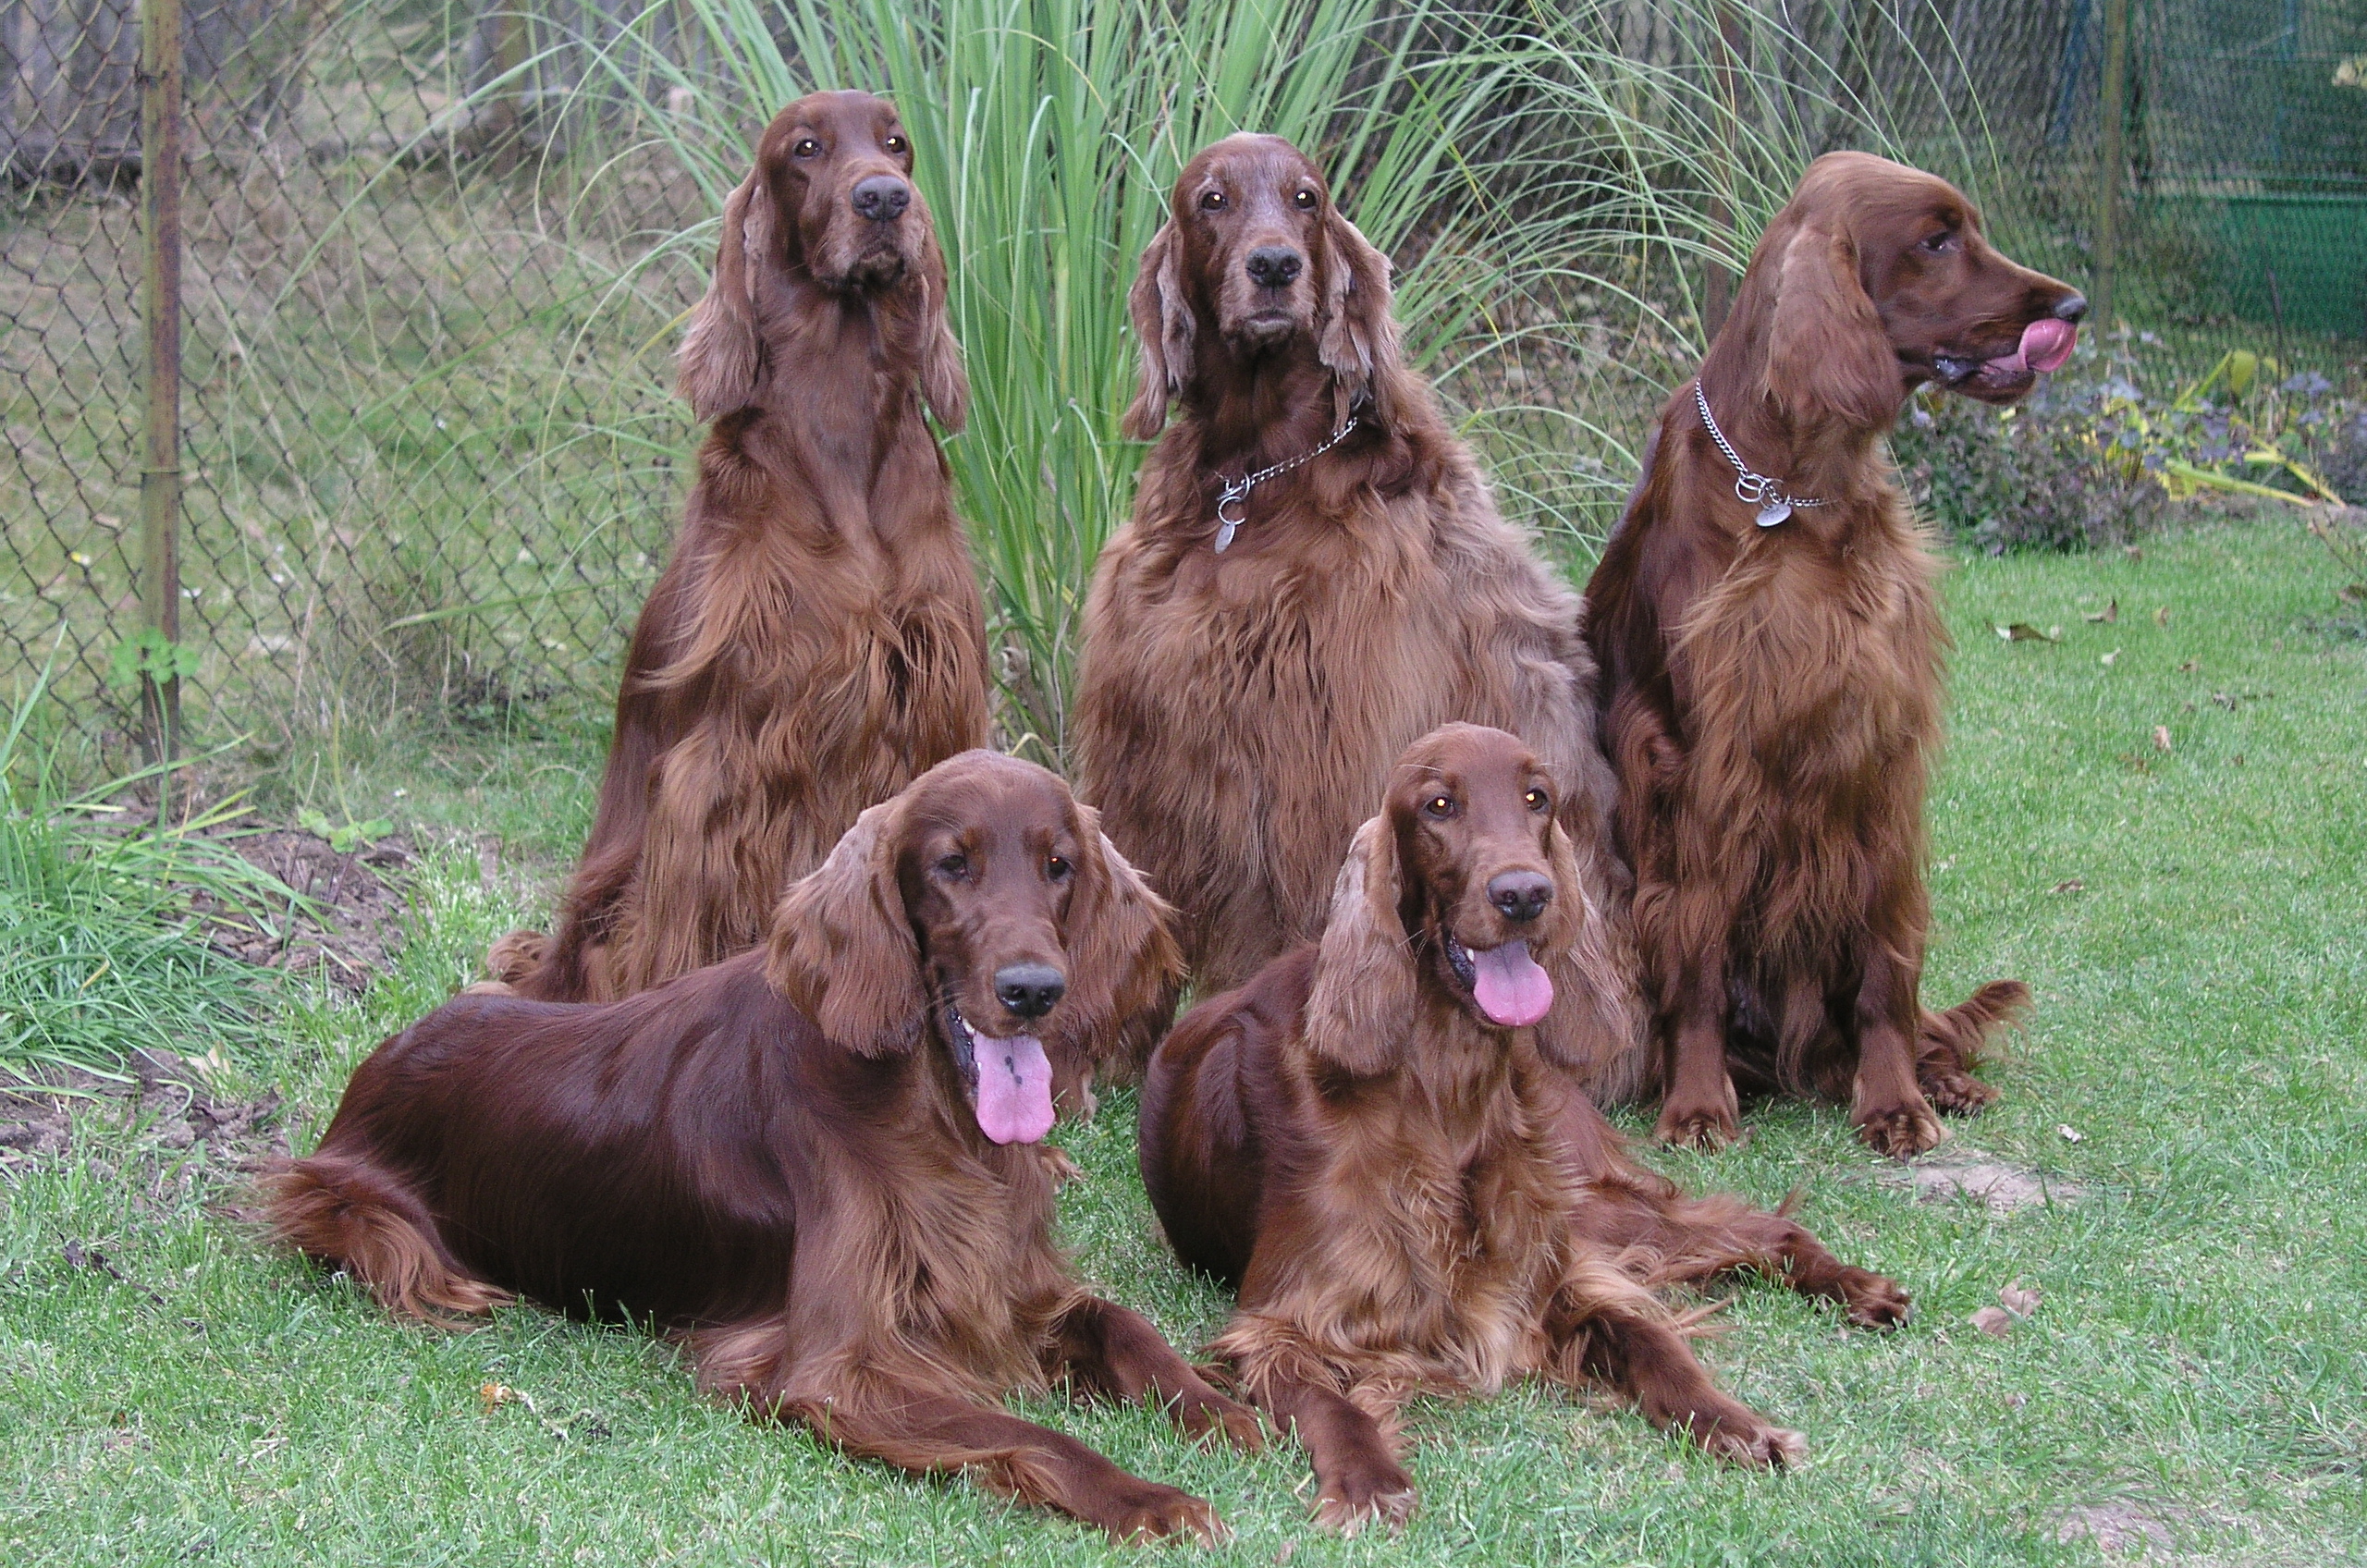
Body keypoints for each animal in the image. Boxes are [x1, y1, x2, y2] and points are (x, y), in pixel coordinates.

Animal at [271, 753, 1269, 1544]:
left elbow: (1129, 1327)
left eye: (1059, 866)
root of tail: (386, 1052)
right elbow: (1028, 1431)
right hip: (349, 1203)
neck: (934, 1112)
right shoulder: (836, 1367)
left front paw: (1228, 1411)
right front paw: (1149, 1497)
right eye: (952, 865)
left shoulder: (1011, 1284)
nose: (1034, 989)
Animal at [492, 92, 989, 1009]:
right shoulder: (730, 761)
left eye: (896, 143)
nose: (884, 199)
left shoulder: (935, 707)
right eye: (805, 148)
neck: (838, 413)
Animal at [1070, 135, 1628, 1070]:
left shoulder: (1315, 749)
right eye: (1212, 199)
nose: (1274, 266)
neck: (1253, 479)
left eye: (1307, 198)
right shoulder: (1151, 735)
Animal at [1135, 729, 1912, 1544]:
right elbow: (1326, 1399)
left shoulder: (1555, 1271)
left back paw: (1858, 1287)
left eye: (1537, 798)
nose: (1525, 894)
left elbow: (1651, 1339)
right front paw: (1367, 1479)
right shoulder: (1283, 1319)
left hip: (1587, 1199)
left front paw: (1732, 1420)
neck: (1446, 1084)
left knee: (1756, 1227)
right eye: (1439, 805)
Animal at [1581, 153, 2082, 1160]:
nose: (2076, 306)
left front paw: (1894, 1101)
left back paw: (1941, 1076)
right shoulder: (1699, 767)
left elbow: (1885, 969)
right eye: (1937, 241)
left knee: (1907, 1011)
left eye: (1967, 228)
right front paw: (1696, 1105)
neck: (1797, 491)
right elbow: (1694, 952)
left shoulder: (1877, 759)